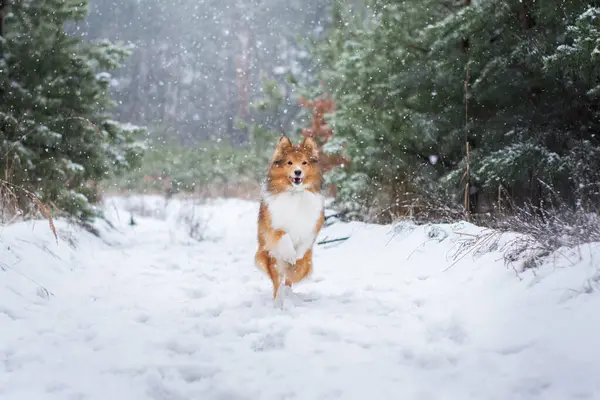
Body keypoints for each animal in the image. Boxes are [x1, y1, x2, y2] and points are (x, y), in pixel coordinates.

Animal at [255, 136, 326, 304]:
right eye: (289, 163)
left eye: (304, 162)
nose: (298, 171)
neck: (295, 193)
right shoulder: (272, 226)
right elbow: (283, 234)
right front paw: (290, 254)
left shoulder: (313, 224)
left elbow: (305, 239)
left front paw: (297, 254)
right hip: (272, 259)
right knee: (277, 282)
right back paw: (279, 301)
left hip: (305, 265)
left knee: (290, 277)